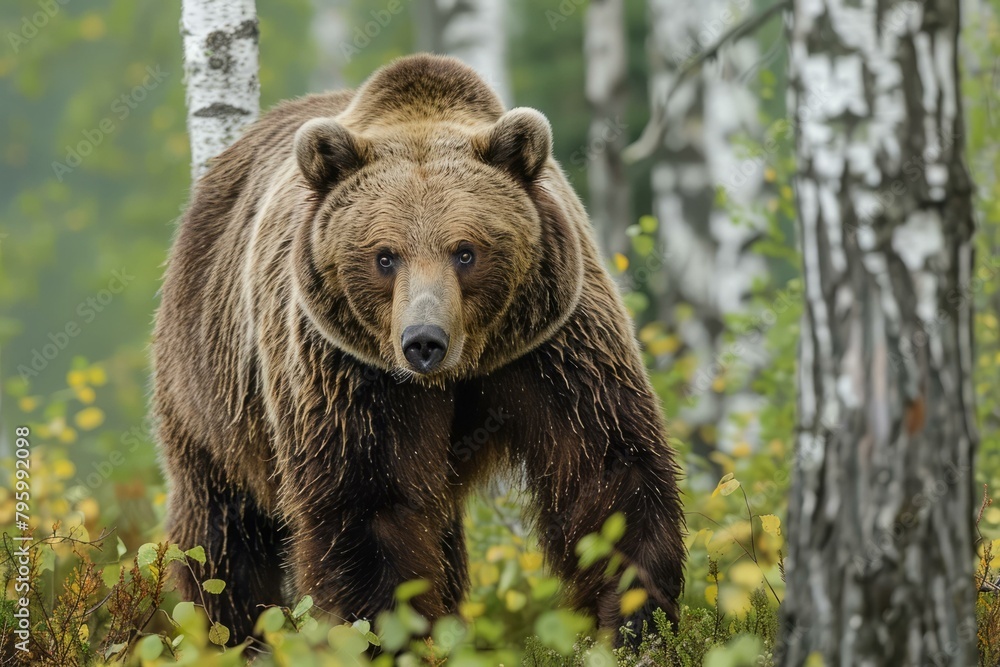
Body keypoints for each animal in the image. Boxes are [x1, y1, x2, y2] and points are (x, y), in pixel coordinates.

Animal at [152, 53, 685, 647]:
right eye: (385, 256)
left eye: (466, 251)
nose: (424, 341)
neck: (458, 370)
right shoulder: (346, 371)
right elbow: (368, 505)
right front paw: (393, 632)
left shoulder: (552, 342)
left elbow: (605, 467)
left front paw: (635, 618)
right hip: (211, 381)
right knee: (221, 530)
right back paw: (228, 633)